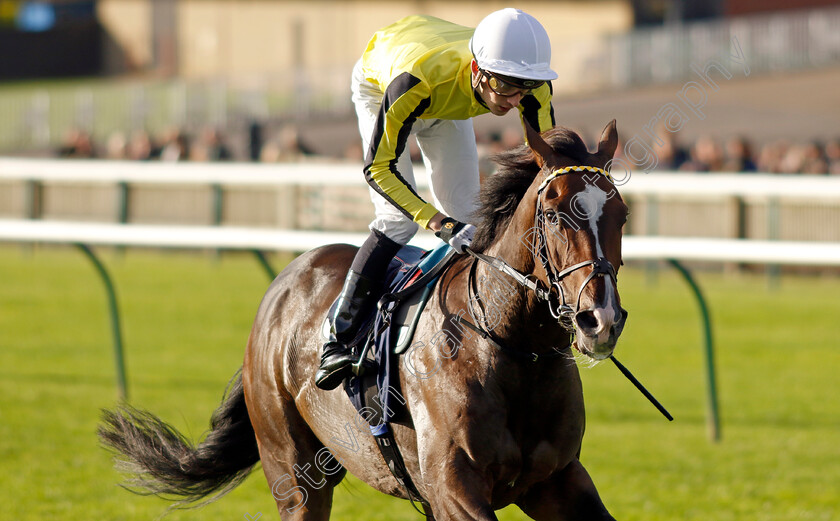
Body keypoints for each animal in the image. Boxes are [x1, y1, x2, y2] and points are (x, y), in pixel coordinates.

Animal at [100, 120, 632, 516]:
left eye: (622, 214)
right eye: (555, 214)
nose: (600, 318)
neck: (509, 346)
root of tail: (284, 283)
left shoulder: (558, 479)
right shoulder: (455, 490)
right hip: (295, 475)